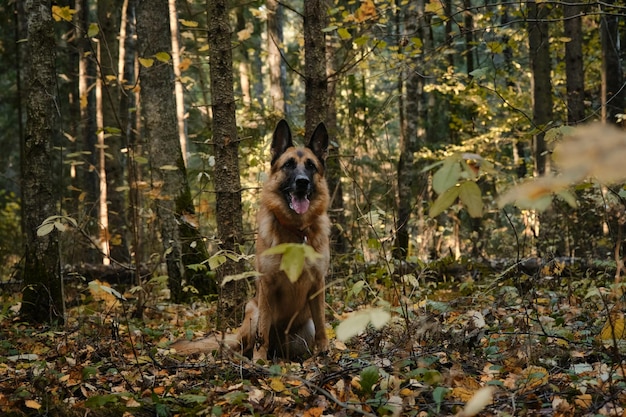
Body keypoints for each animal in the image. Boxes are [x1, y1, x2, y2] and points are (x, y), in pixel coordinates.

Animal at [171, 120, 330, 360]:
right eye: (289, 165)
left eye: (311, 166)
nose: (302, 182)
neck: (295, 230)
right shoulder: (267, 287)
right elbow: (263, 330)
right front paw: (260, 360)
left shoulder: (317, 285)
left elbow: (322, 324)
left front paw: (326, 353)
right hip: (252, 311)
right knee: (243, 344)